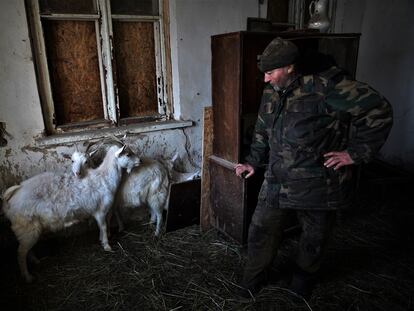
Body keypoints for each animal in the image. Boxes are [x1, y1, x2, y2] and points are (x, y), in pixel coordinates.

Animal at [1, 145, 141, 284]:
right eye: (128, 154)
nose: (139, 160)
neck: (104, 177)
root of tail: (13, 194)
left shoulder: (97, 212)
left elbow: (101, 227)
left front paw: (102, 240)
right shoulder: (100, 210)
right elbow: (104, 226)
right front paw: (107, 246)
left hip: (29, 230)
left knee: (26, 250)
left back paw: (35, 261)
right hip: (25, 226)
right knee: (20, 253)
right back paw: (28, 276)